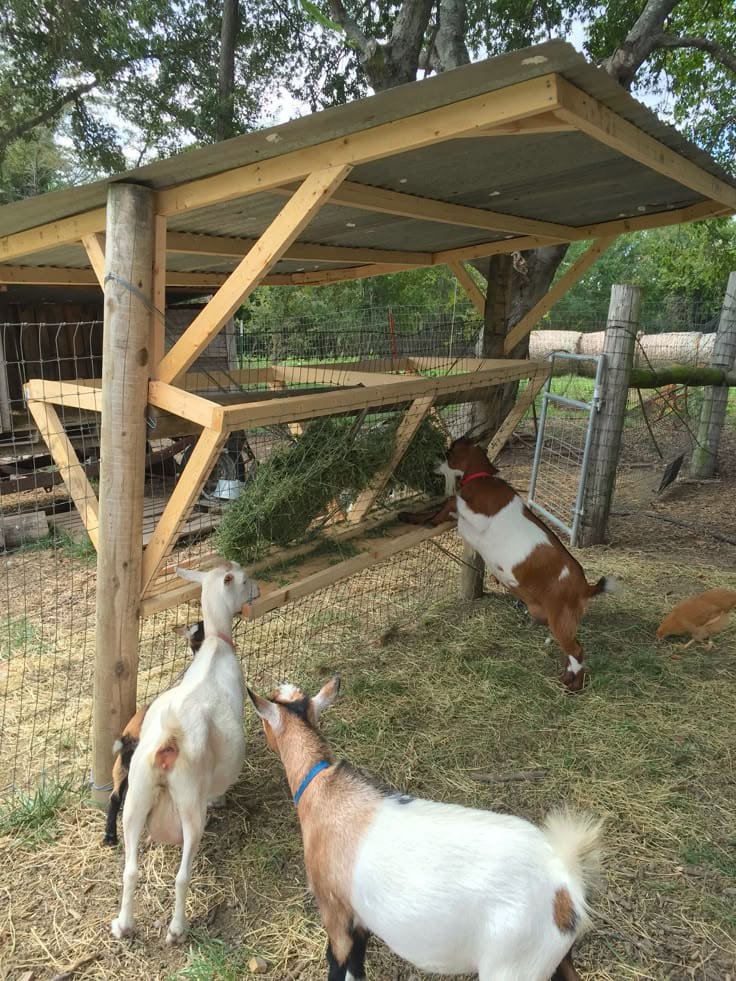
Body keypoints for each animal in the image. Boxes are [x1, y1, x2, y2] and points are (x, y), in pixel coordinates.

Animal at [249, 676, 604, 980]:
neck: (321, 788)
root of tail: (563, 883)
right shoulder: (361, 916)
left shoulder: (334, 910)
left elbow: (339, 962)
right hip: (555, 959)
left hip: (512, 967)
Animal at [400, 436, 620, 688]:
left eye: (449, 452)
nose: (433, 462)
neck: (482, 478)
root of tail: (585, 587)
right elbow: (442, 510)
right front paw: (408, 516)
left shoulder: (476, 515)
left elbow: (452, 501)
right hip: (555, 619)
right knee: (573, 650)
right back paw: (565, 678)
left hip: (560, 619)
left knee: (577, 651)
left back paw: (574, 687)